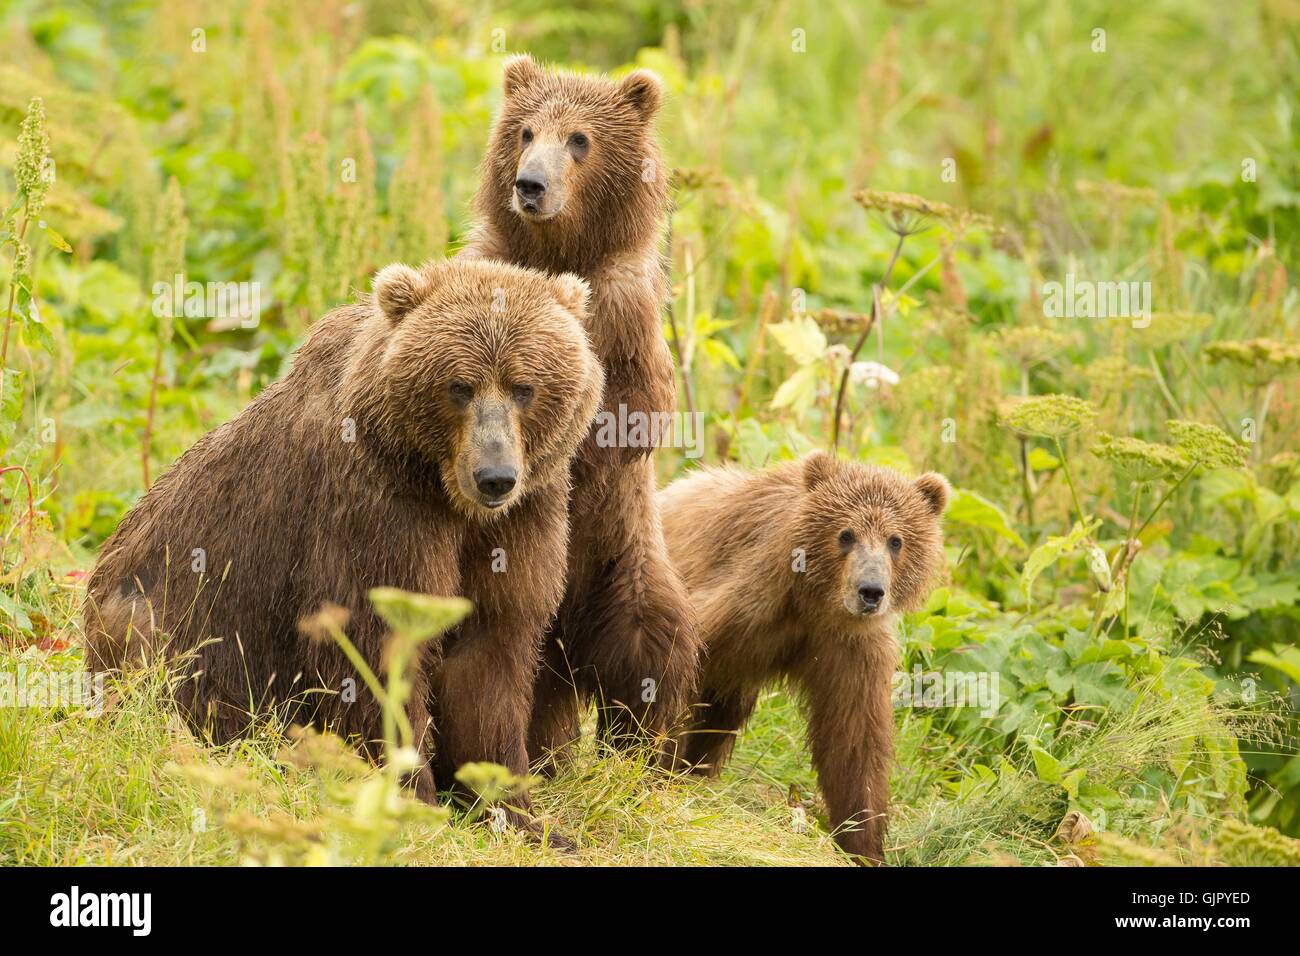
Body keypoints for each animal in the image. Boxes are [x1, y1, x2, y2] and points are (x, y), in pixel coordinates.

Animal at [83, 258, 604, 838]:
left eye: (523, 387)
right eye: (460, 386)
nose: (494, 476)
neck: (445, 494)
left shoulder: (522, 520)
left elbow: (490, 649)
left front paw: (519, 815)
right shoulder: (374, 511)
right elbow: (375, 649)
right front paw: (412, 799)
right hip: (157, 618)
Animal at [459, 54, 699, 765]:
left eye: (580, 139)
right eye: (525, 130)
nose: (530, 185)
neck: (560, 252)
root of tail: (569, 659)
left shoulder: (626, 314)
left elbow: (633, 415)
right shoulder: (488, 266)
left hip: (625, 565)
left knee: (653, 651)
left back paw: (643, 752)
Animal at [658, 452, 950, 864]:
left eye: (896, 540)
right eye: (846, 534)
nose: (870, 590)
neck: (816, 605)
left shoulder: (850, 651)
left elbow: (853, 741)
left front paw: (863, 844)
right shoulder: (742, 604)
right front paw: (658, 767)